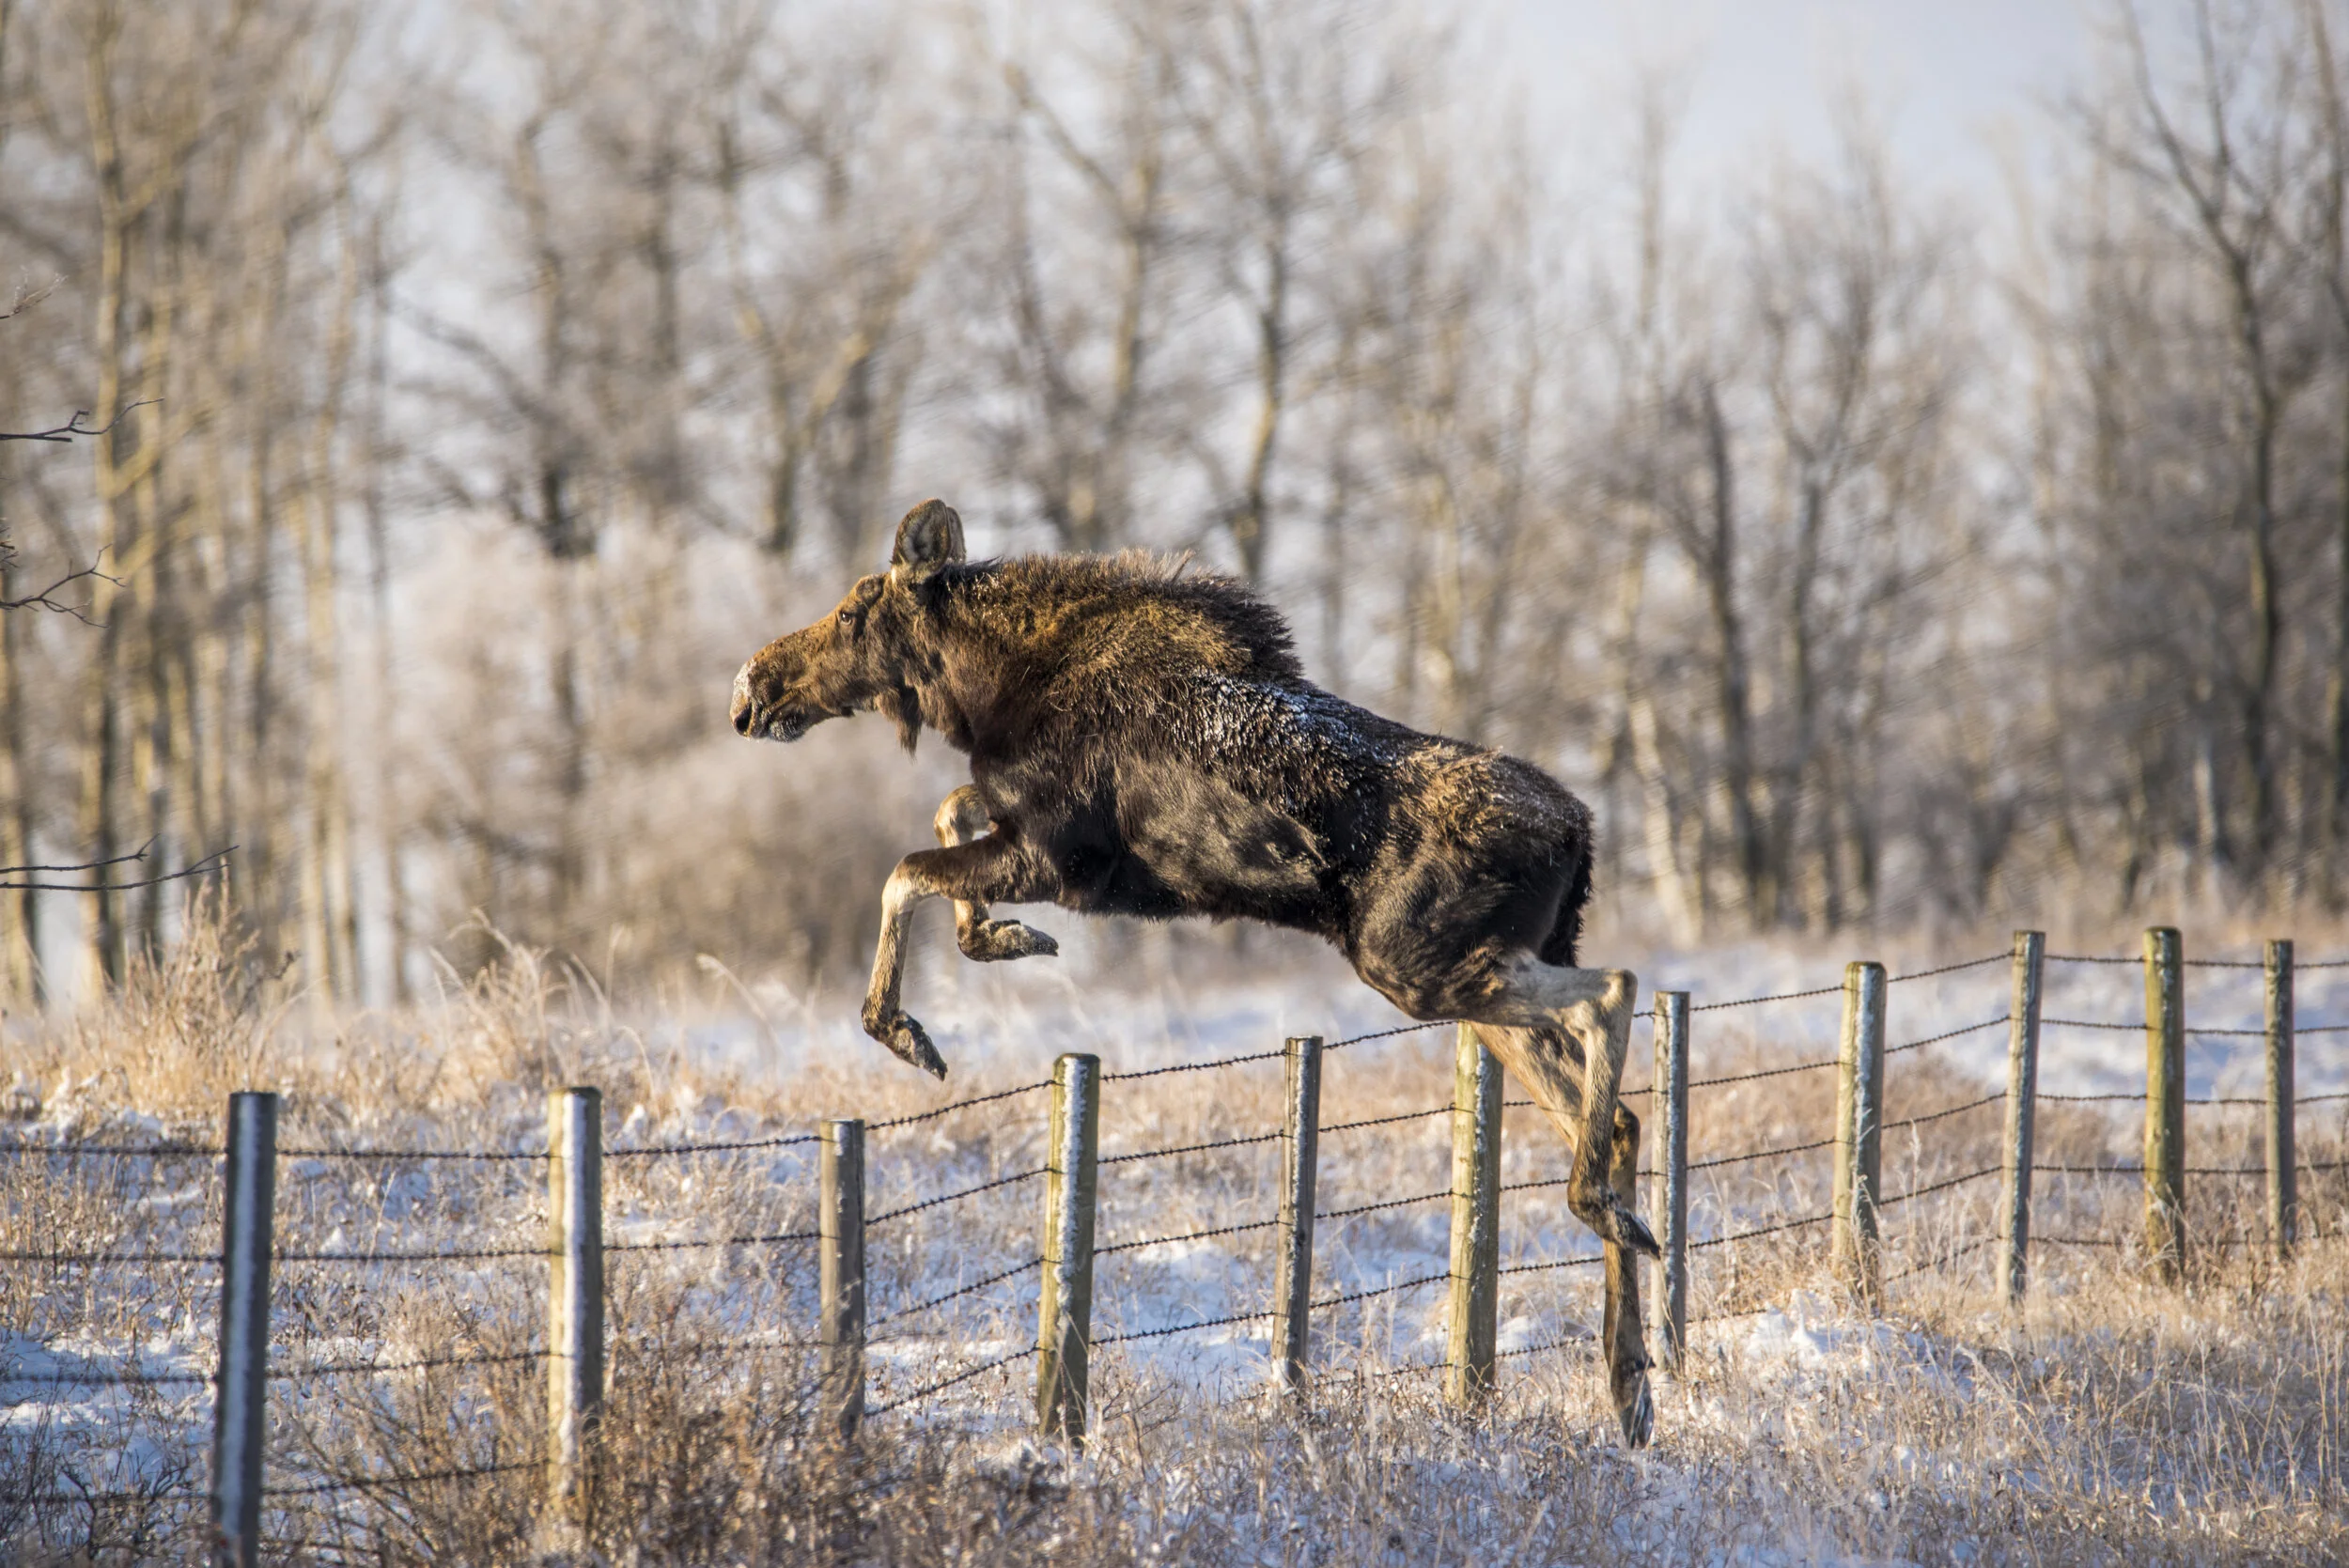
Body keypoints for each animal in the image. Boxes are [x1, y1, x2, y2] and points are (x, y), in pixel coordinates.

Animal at [729, 500, 1657, 1445]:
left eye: (854, 610)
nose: (752, 687)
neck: (986, 691)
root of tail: (1582, 831)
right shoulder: (1039, 840)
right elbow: (950, 813)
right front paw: (999, 936)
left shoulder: (1062, 857)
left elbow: (905, 868)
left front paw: (907, 1023)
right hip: (1478, 982)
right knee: (1619, 1114)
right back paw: (1630, 1374)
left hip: (1418, 964)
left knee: (1614, 995)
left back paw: (1599, 1222)